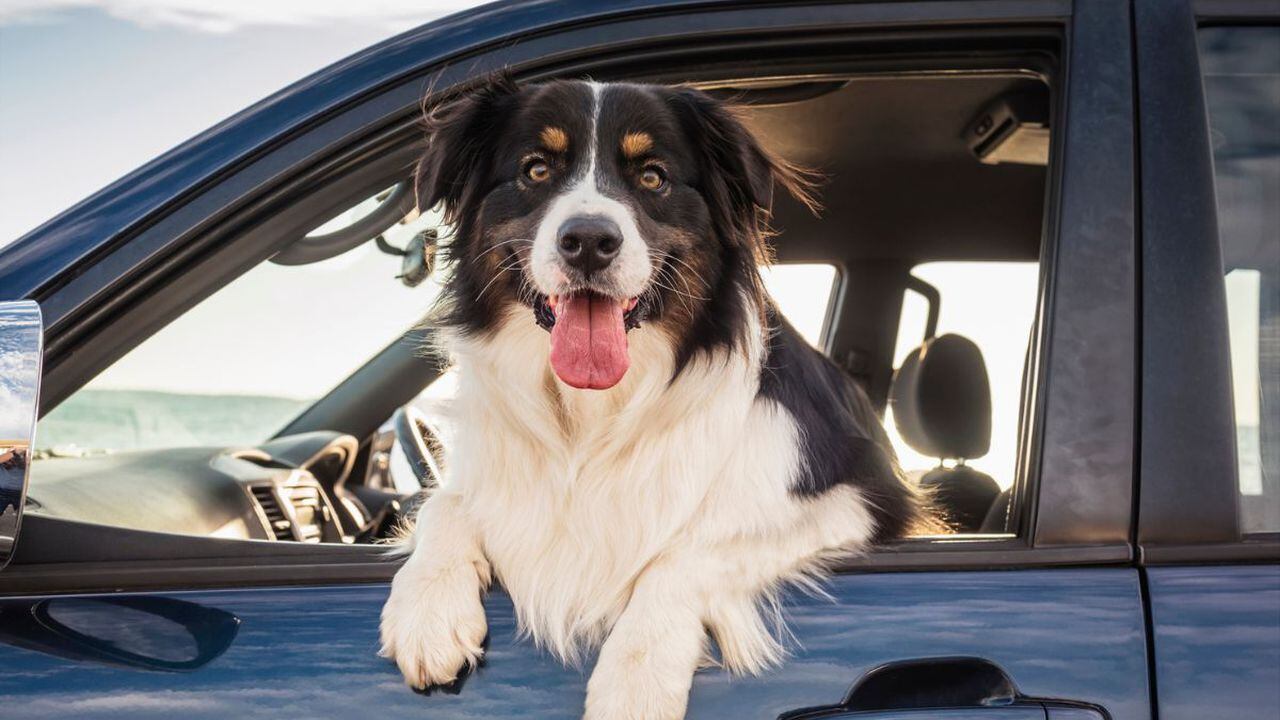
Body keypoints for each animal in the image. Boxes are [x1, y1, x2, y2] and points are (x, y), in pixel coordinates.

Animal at [376, 78, 921, 717]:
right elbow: (445, 503)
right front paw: (428, 612)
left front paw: (634, 680)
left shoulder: (859, 498)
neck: (593, 414)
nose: (589, 241)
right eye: (536, 169)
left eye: (653, 176)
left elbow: (686, 552)